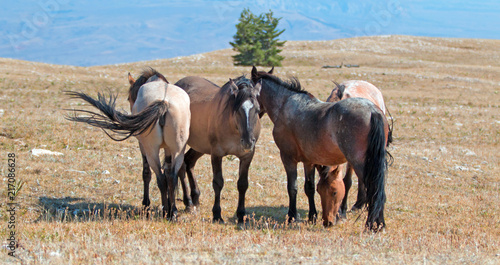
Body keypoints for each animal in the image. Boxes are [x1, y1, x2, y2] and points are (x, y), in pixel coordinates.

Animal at [65, 68, 190, 219]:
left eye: (129, 98)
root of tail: (164, 102)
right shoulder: (168, 149)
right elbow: (169, 172)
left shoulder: (142, 147)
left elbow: (146, 174)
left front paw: (146, 204)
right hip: (178, 149)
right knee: (171, 176)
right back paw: (173, 212)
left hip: (150, 149)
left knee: (160, 178)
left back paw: (165, 211)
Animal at [174, 75, 262, 222]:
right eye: (237, 110)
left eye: (257, 109)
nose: (248, 142)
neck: (234, 129)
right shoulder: (216, 154)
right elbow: (218, 183)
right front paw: (217, 214)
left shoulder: (247, 156)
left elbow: (243, 184)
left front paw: (241, 214)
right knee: (181, 167)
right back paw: (188, 203)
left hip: (200, 146)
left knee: (189, 161)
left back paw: (195, 198)